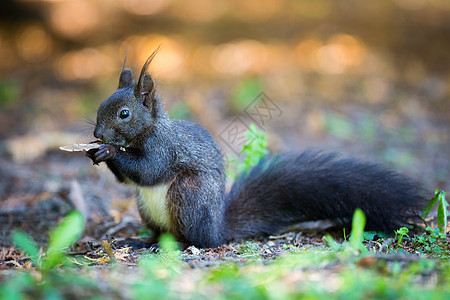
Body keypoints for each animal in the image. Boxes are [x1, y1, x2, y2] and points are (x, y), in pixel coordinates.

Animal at [86, 51, 428, 248]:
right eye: (101, 105)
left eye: (124, 114)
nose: (97, 134)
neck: (144, 134)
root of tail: (218, 229)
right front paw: (95, 150)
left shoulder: (165, 148)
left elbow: (149, 170)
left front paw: (108, 152)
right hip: (147, 209)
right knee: (163, 234)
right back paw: (141, 243)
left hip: (189, 196)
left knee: (197, 241)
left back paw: (179, 245)